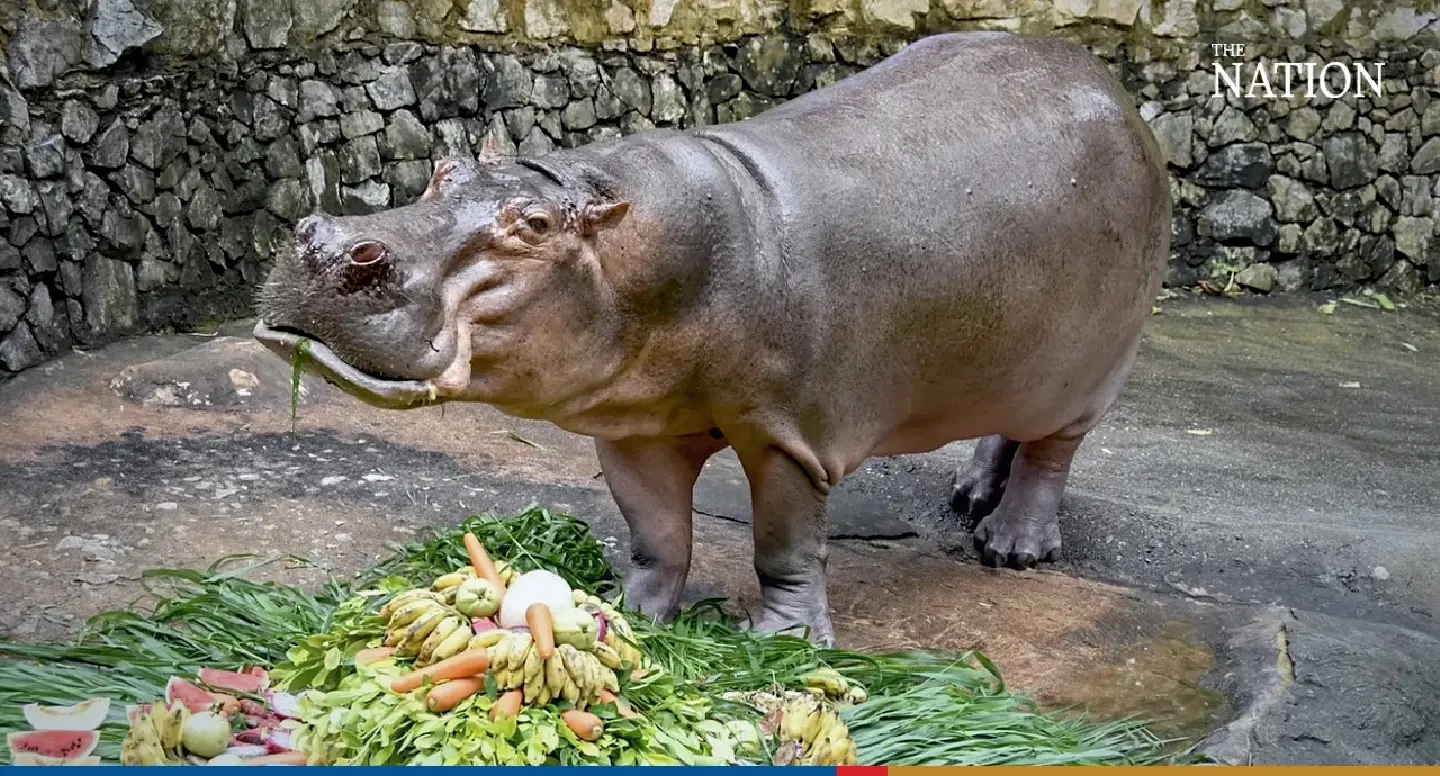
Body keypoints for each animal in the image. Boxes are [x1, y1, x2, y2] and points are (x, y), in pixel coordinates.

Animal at [254, 31, 1171, 645]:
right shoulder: (632, 430)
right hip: (1011, 359)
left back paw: (1012, 545)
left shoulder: (788, 435)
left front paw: (781, 643)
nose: (330, 244)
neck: (627, 240)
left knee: (1052, 451)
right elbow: (658, 534)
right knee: (1002, 428)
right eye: (443, 169)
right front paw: (624, 615)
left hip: (1091, 367)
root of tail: (1116, 89)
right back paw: (970, 497)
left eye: (536, 225)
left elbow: (785, 548)